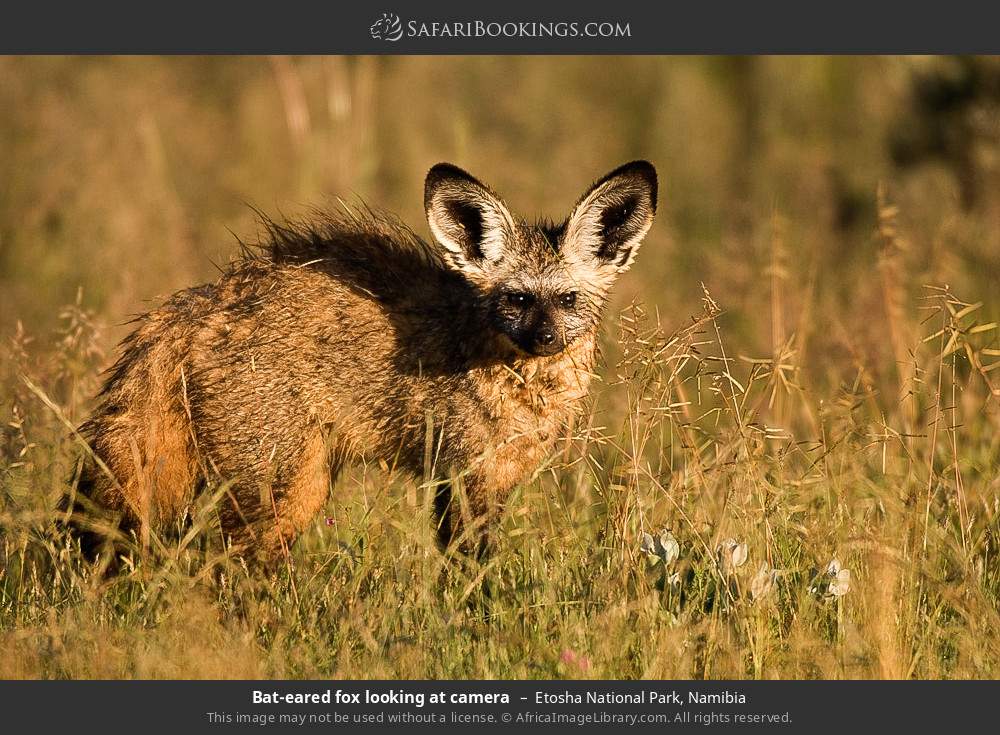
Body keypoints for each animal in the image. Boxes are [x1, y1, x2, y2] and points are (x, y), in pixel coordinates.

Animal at [68, 160, 658, 565]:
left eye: (567, 300)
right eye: (516, 299)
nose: (544, 338)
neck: (521, 395)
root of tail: (201, 301)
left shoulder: (489, 481)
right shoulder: (464, 476)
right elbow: (471, 573)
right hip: (289, 488)